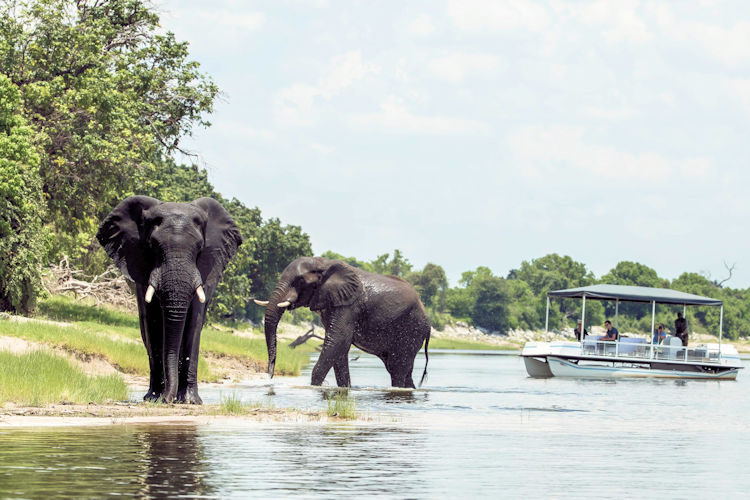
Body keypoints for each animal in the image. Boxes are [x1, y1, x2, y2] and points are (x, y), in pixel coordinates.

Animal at [97, 196, 242, 404]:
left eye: (199, 248)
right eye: (153, 247)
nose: (167, 399)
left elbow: (194, 321)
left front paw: (190, 401)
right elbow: (152, 321)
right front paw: (155, 398)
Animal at [255, 257, 431, 388]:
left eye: (300, 282)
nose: (270, 375)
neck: (324, 264)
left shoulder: (348, 306)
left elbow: (338, 341)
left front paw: (315, 387)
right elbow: (339, 348)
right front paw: (345, 389)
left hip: (412, 329)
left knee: (397, 369)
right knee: (402, 370)